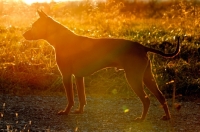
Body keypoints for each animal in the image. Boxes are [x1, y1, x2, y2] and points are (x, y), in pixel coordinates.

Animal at [22, 10, 180, 121]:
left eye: (34, 26)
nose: (23, 34)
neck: (63, 39)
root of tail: (141, 47)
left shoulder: (66, 76)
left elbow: (70, 98)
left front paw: (66, 112)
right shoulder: (79, 77)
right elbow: (82, 97)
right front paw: (80, 111)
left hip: (133, 79)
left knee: (146, 100)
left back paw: (141, 119)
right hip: (147, 77)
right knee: (161, 97)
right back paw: (167, 117)